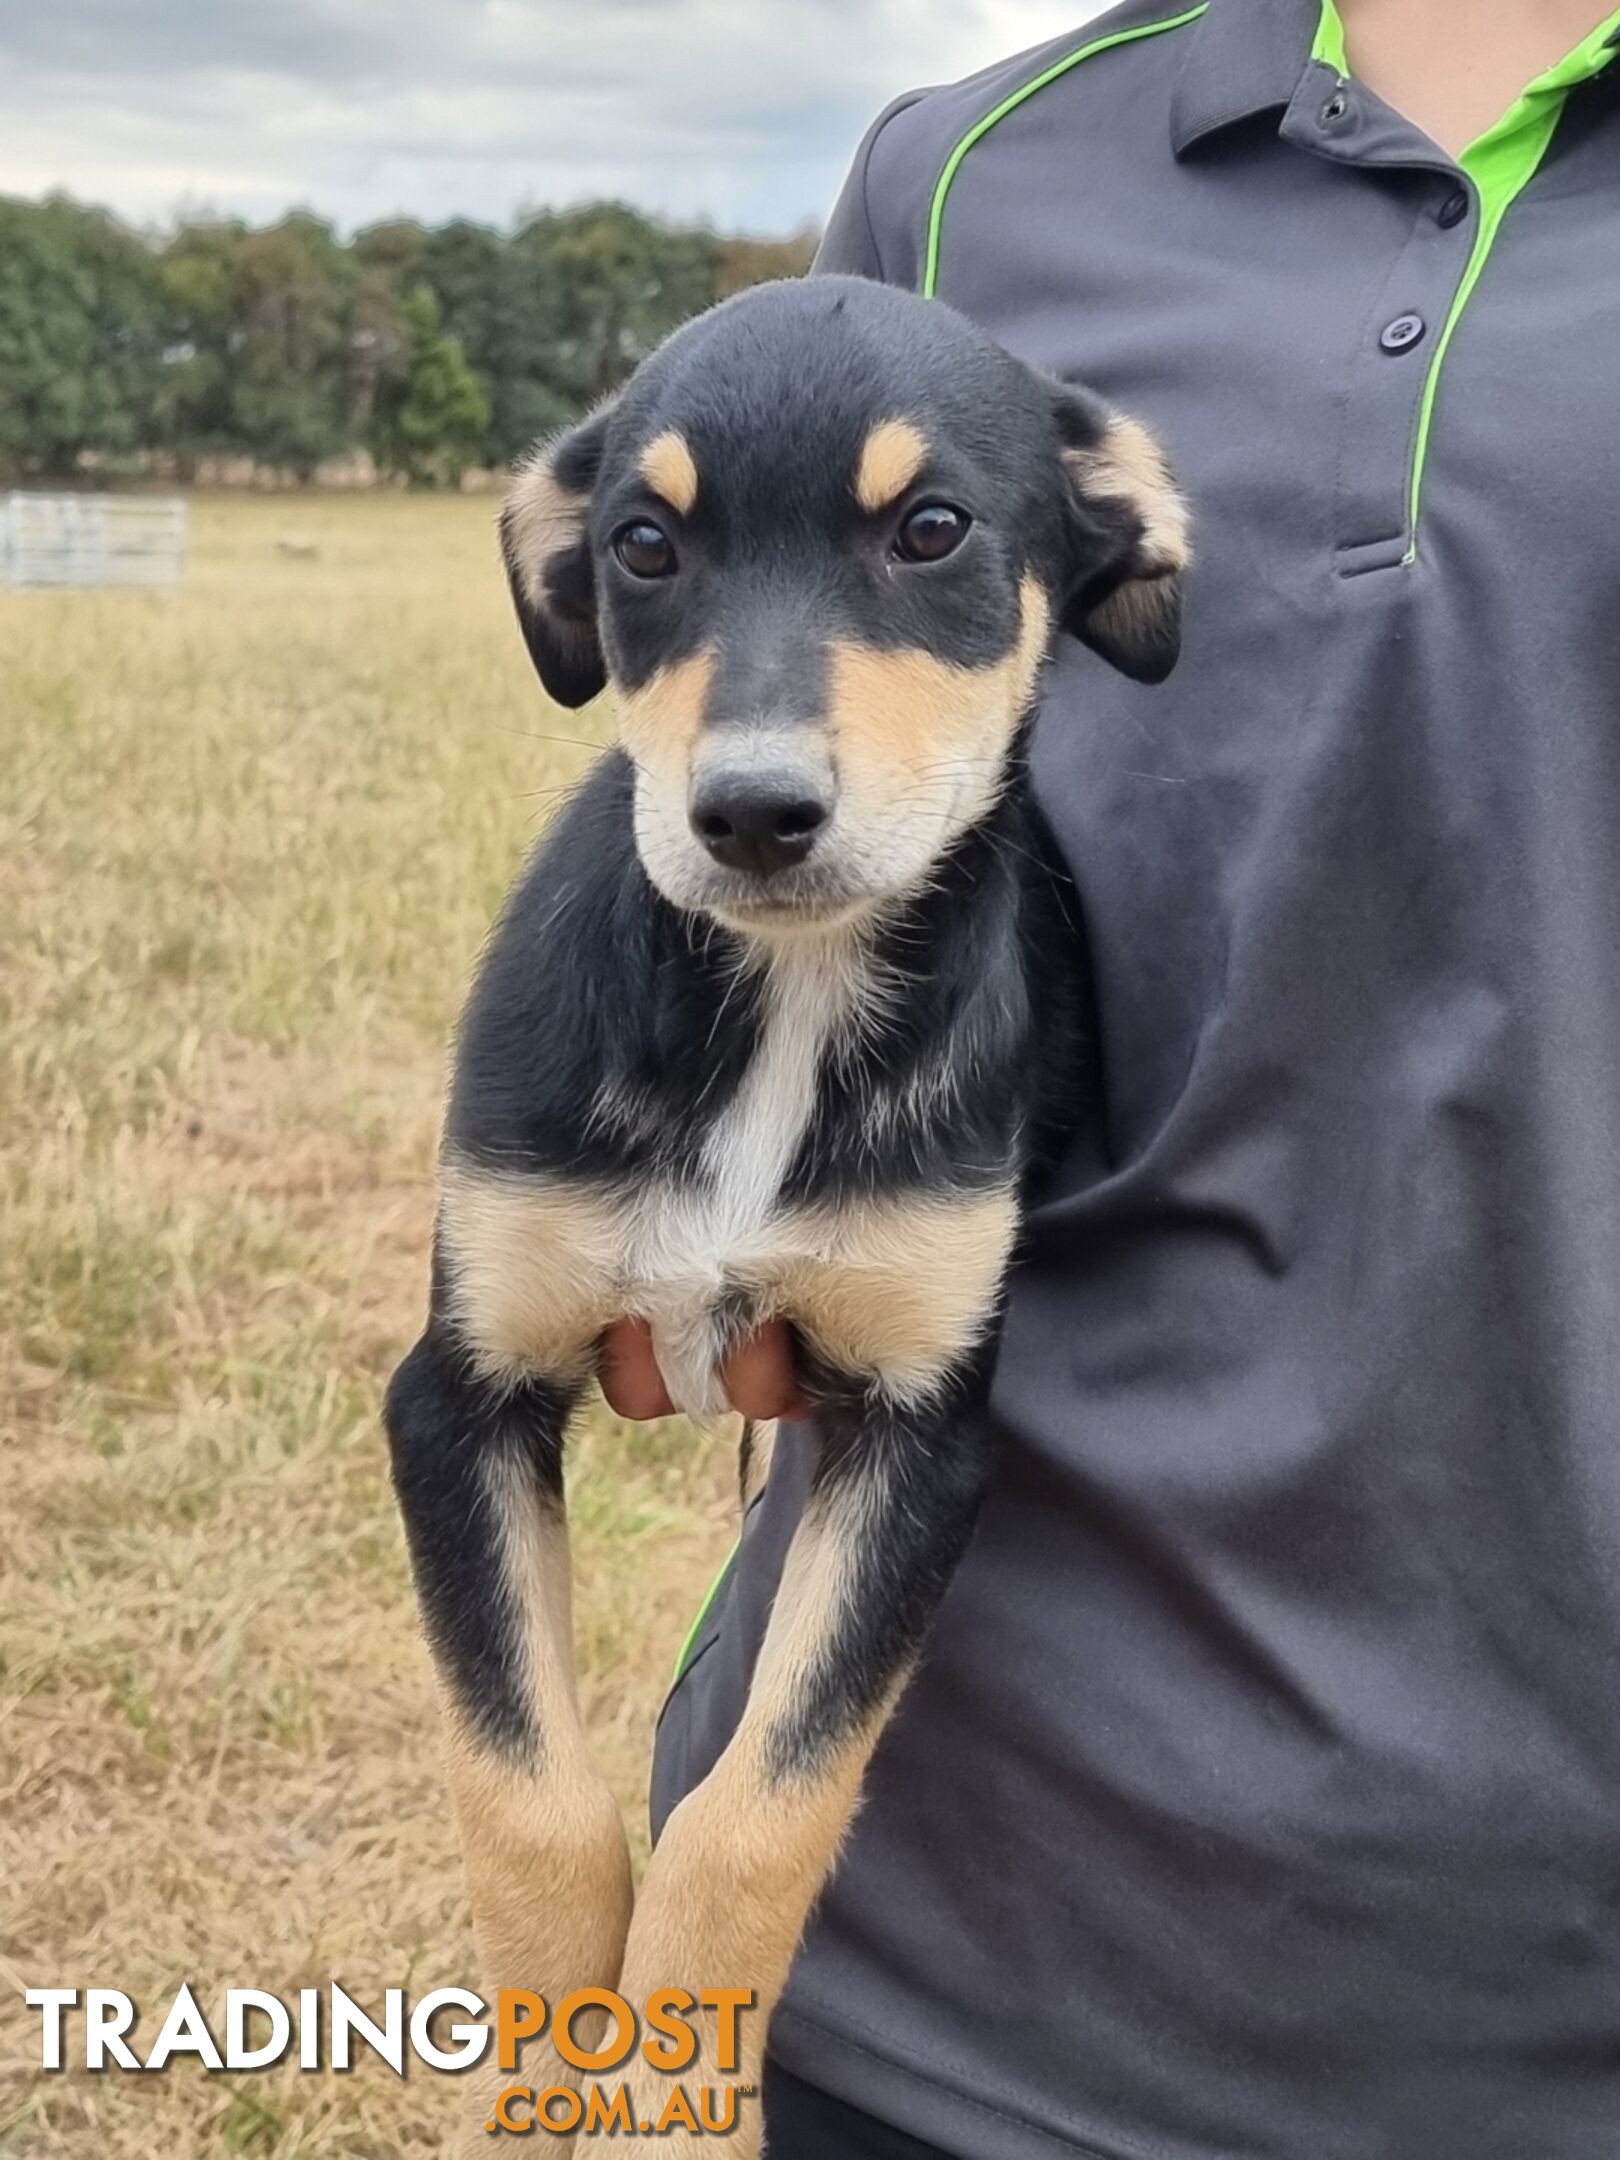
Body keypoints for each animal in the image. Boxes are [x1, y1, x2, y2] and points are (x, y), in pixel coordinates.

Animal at [384, 274, 1183, 2142]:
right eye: (643, 544)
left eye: (932, 530)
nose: (748, 813)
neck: (784, 1001)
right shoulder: (455, 1397)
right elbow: (527, 1791)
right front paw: (550, 2061)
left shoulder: (919, 1438)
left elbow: (760, 1813)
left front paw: (680, 2063)